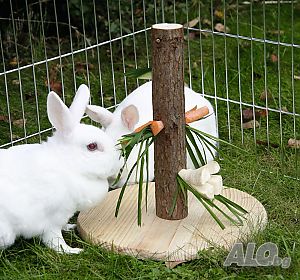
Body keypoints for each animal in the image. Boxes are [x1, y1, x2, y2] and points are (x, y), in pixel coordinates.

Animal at [0, 84, 122, 253]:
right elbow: (55, 241)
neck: (67, 164)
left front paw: (70, 227)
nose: (119, 162)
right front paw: (74, 251)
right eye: (92, 146)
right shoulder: (52, 220)